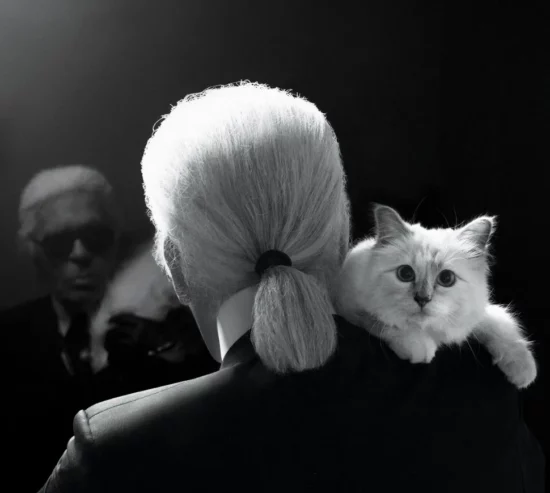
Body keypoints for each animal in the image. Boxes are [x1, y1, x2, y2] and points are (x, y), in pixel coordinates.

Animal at [335, 204, 537, 389]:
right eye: (405, 274)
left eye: (446, 278)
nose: (422, 299)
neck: (430, 330)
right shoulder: (347, 306)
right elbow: (380, 322)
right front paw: (418, 345)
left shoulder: (476, 314)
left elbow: (501, 326)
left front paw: (523, 370)